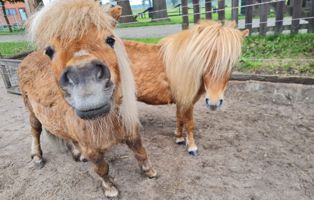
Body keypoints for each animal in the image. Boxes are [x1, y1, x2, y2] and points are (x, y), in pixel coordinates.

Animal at [17, 0, 155, 197]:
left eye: (110, 40)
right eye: (50, 51)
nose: (85, 79)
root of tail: (27, 58)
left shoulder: (131, 130)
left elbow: (140, 151)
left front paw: (149, 171)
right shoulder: (93, 151)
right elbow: (102, 168)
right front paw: (109, 189)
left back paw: (76, 153)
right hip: (31, 111)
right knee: (35, 130)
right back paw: (37, 157)